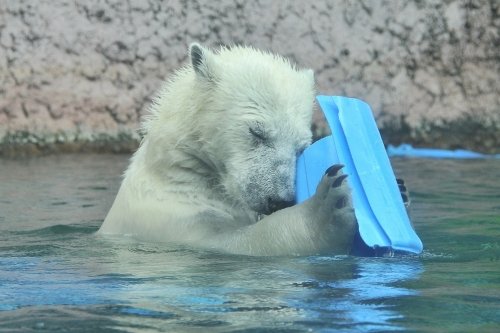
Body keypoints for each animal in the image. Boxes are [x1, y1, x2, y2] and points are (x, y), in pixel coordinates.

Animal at [96, 42, 356, 255]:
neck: (179, 172)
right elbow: (232, 241)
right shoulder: (170, 217)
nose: (279, 200)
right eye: (257, 132)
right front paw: (326, 207)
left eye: (301, 146)